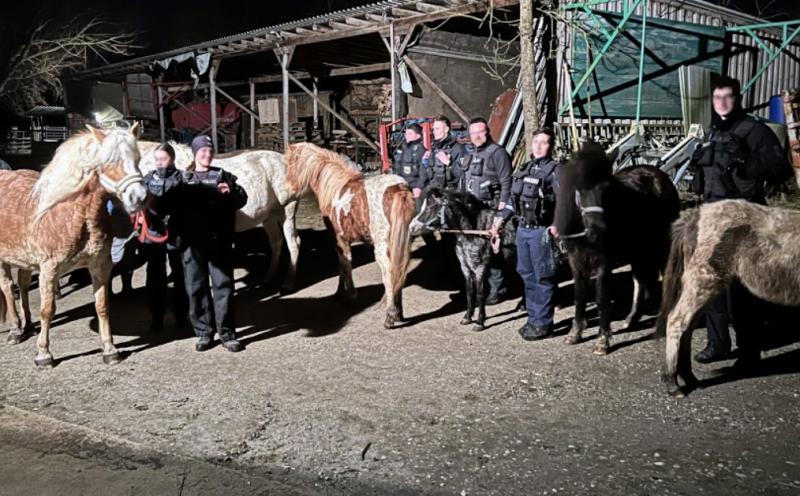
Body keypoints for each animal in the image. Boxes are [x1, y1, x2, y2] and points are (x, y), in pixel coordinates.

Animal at [0, 124, 146, 366]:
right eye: (108, 161)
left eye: (137, 158)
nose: (139, 197)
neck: (72, 213)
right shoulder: (49, 270)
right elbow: (47, 310)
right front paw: (43, 354)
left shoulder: (100, 266)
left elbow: (102, 306)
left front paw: (110, 350)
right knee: (8, 288)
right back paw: (15, 330)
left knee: (22, 284)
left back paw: (27, 325)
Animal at [136, 141, 302, 292]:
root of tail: (284, 160)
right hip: (269, 215)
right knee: (276, 242)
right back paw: (267, 279)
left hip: (288, 208)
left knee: (294, 243)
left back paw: (288, 284)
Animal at [284, 142, 416, 330]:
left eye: (292, 165)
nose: (286, 189)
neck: (336, 186)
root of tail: (399, 189)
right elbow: (342, 265)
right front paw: (339, 293)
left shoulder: (339, 239)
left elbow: (345, 265)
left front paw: (349, 295)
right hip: (402, 243)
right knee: (399, 272)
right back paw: (399, 313)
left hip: (382, 248)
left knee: (389, 275)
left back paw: (390, 316)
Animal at [410, 188, 516, 332]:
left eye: (430, 207)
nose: (412, 227)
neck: (476, 231)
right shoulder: (465, 267)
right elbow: (469, 291)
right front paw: (467, 318)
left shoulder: (480, 268)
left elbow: (480, 294)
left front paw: (480, 322)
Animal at [556, 141, 680, 354]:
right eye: (578, 189)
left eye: (607, 189)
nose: (598, 231)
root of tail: (659, 175)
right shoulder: (575, 261)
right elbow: (579, 297)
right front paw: (575, 333)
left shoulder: (604, 262)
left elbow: (601, 298)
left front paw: (602, 340)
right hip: (638, 250)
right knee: (640, 280)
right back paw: (632, 319)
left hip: (661, 245)